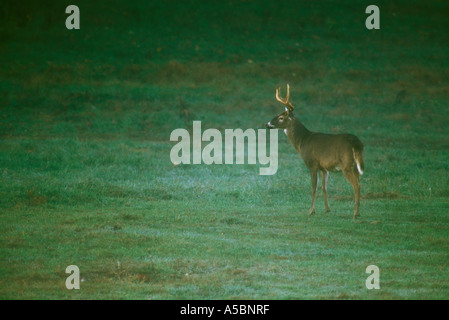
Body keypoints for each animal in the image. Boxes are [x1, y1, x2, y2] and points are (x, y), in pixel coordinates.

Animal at [266, 84, 364, 219]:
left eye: (281, 117)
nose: (267, 124)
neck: (303, 141)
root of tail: (356, 143)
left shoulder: (312, 163)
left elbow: (314, 188)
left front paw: (311, 210)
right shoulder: (324, 167)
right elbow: (324, 187)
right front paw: (327, 209)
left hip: (347, 164)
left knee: (356, 185)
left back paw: (356, 213)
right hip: (355, 166)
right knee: (358, 183)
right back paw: (357, 211)